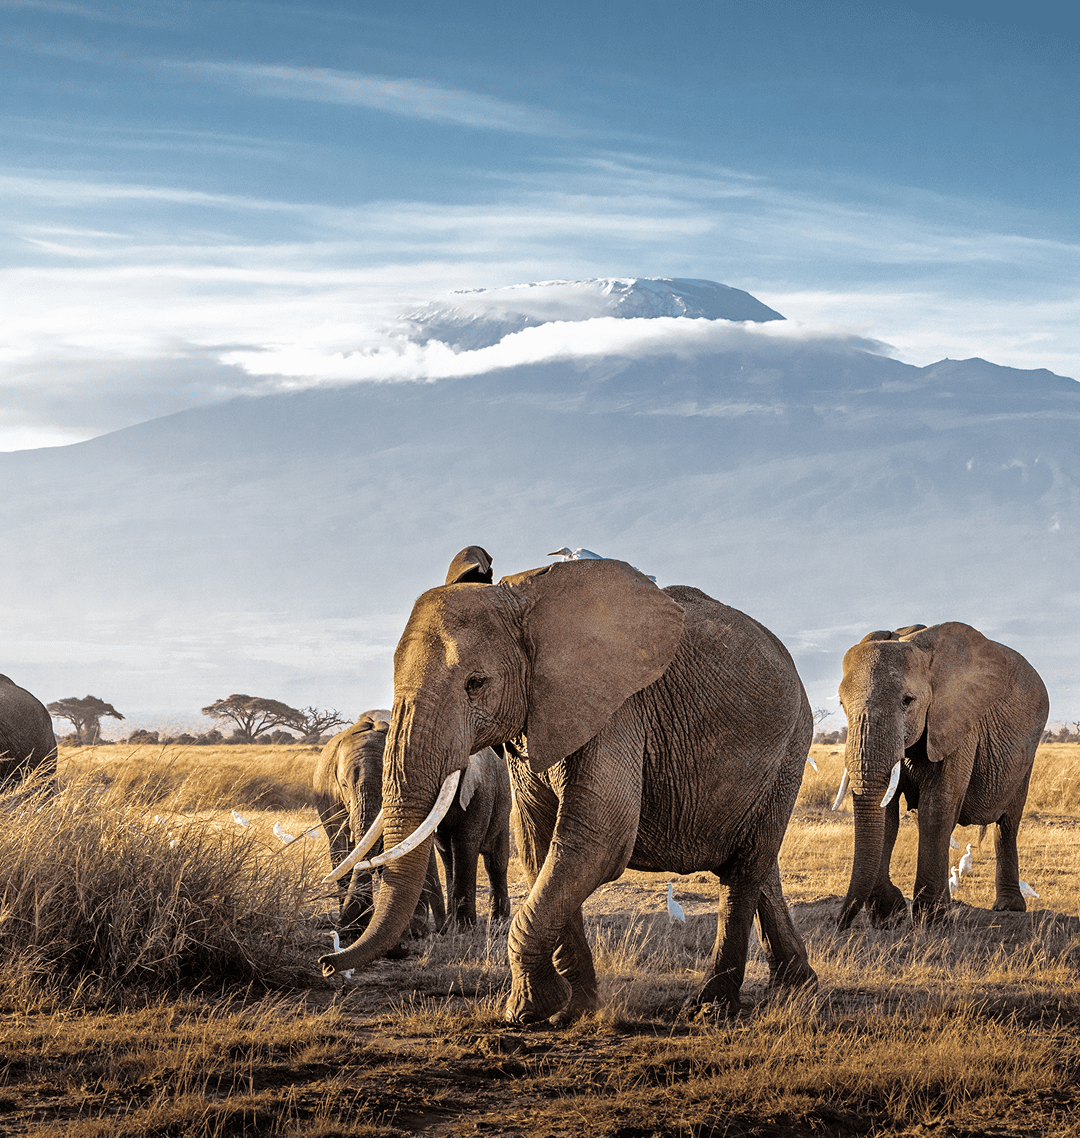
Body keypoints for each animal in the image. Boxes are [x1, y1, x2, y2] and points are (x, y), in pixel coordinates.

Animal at [319, 547, 817, 1024]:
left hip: (792, 744)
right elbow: (542, 846)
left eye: (476, 683)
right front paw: (573, 1009)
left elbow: (596, 840)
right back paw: (797, 985)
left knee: (744, 870)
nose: (327, 962)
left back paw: (713, 1008)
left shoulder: (617, 710)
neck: (523, 599)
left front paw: (526, 1012)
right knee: (759, 863)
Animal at [834, 622, 1049, 929]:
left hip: (1027, 753)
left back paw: (1008, 907)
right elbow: (887, 816)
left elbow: (937, 807)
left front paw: (932, 919)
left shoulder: (958, 723)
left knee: (1008, 823)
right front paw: (890, 916)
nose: (838, 924)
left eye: (907, 701)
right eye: (841, 704)